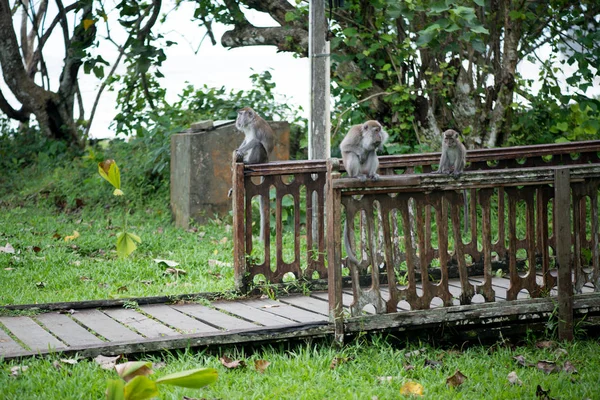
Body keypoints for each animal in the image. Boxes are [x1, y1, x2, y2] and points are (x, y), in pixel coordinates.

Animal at [234, 106, 276, 241]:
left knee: (258, 145)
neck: (250, 122)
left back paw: (248, 162)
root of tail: (266, 160)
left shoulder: (255, 127)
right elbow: (246, 140)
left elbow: (254, 141)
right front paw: (238, 150)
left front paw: (239, 151)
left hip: (261, 157)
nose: (237, 121)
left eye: (240, 114)